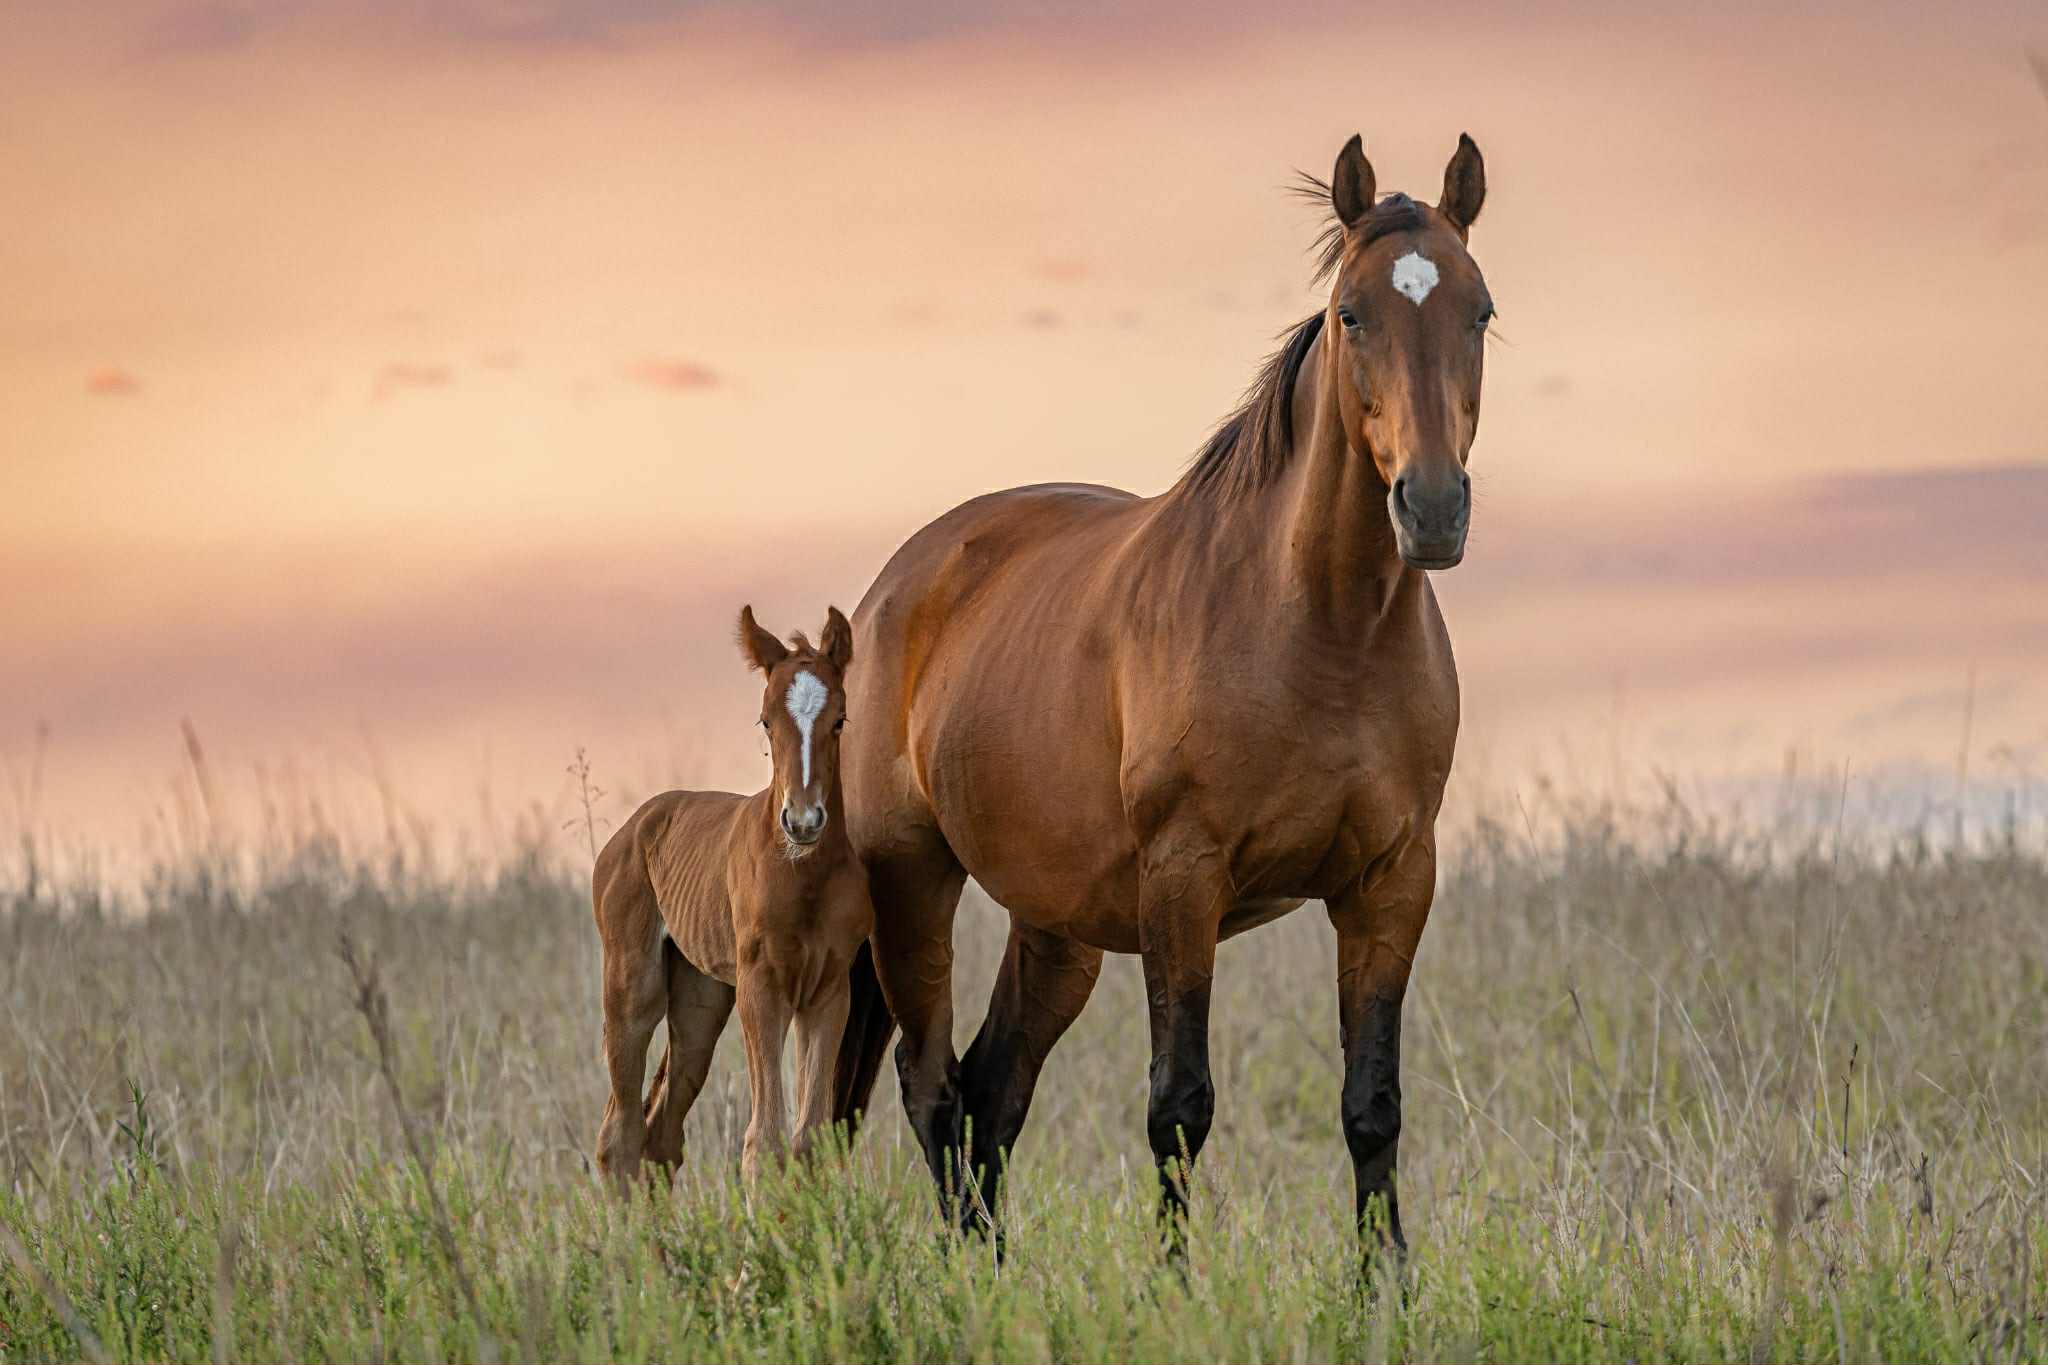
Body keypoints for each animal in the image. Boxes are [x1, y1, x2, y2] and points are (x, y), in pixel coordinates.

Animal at [592, 606, 873, 1186]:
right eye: (766, 720)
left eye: (839, 719)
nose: (803, 821)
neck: (802, 878)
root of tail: (634, 828)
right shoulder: (760, 986)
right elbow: (762, 1141)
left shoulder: (828, 991)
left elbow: (809, 1137)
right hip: (634, 987)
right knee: (618, 1135)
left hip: (700, 1000)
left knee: (660, 1134)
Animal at [829, 133, 1493, 1255]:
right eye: (1350, 314)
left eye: (1479, 310)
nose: (1433, 508)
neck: (1321, 631)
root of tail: (891, 591)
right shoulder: (1185, 881)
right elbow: (1178, 1106)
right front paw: (1175, 1281)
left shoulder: (1391, 882)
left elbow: (1372, 1105)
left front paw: (1386, 1282)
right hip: (913, 885)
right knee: (930, 1090)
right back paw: (965, 1272)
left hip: (1056, 930)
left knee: (989, 1093)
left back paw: (997, 1272)